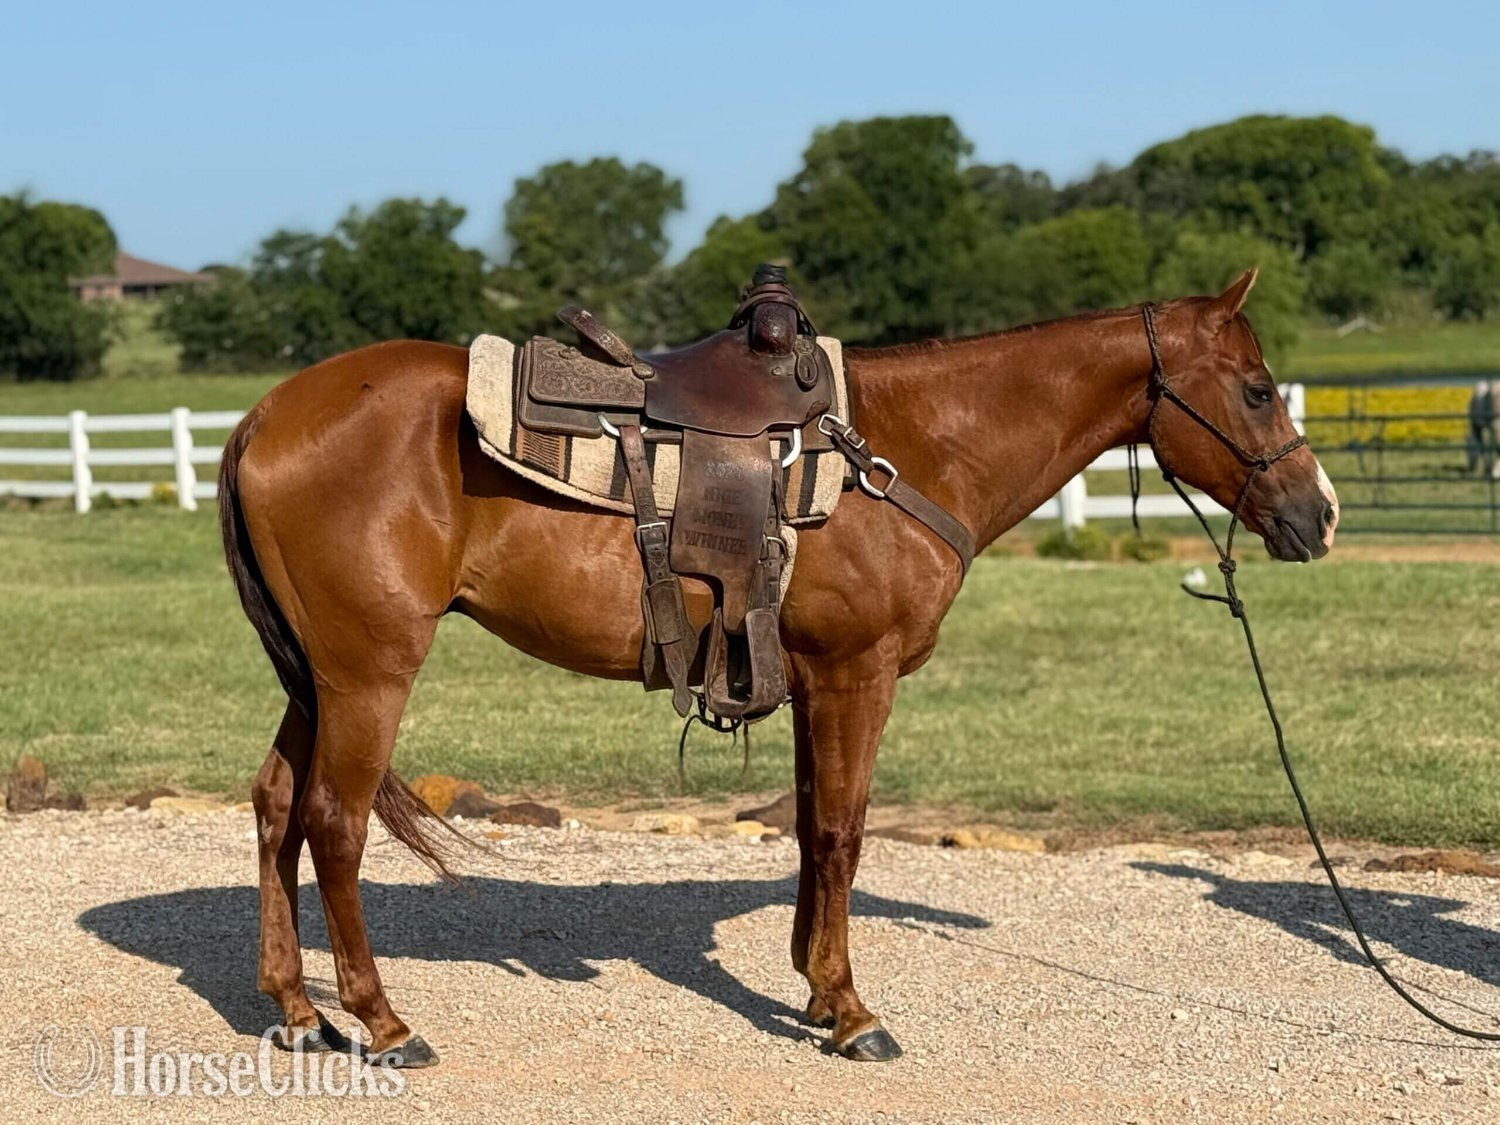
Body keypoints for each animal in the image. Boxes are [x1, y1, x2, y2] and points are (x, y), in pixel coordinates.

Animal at [219, 268, 1339, 1066]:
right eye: (1254, 389)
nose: (1319, 513)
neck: (908, 450)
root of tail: (263, 415)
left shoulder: (806, 681)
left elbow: (809, 828)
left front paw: (813, 984)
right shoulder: (856, 675)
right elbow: (843, 832)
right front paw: (850, 1009)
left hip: (316, 677)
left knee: (275, 805)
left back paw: (297, 1008)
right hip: (368, 672)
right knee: (335, 822)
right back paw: (383, 1022)